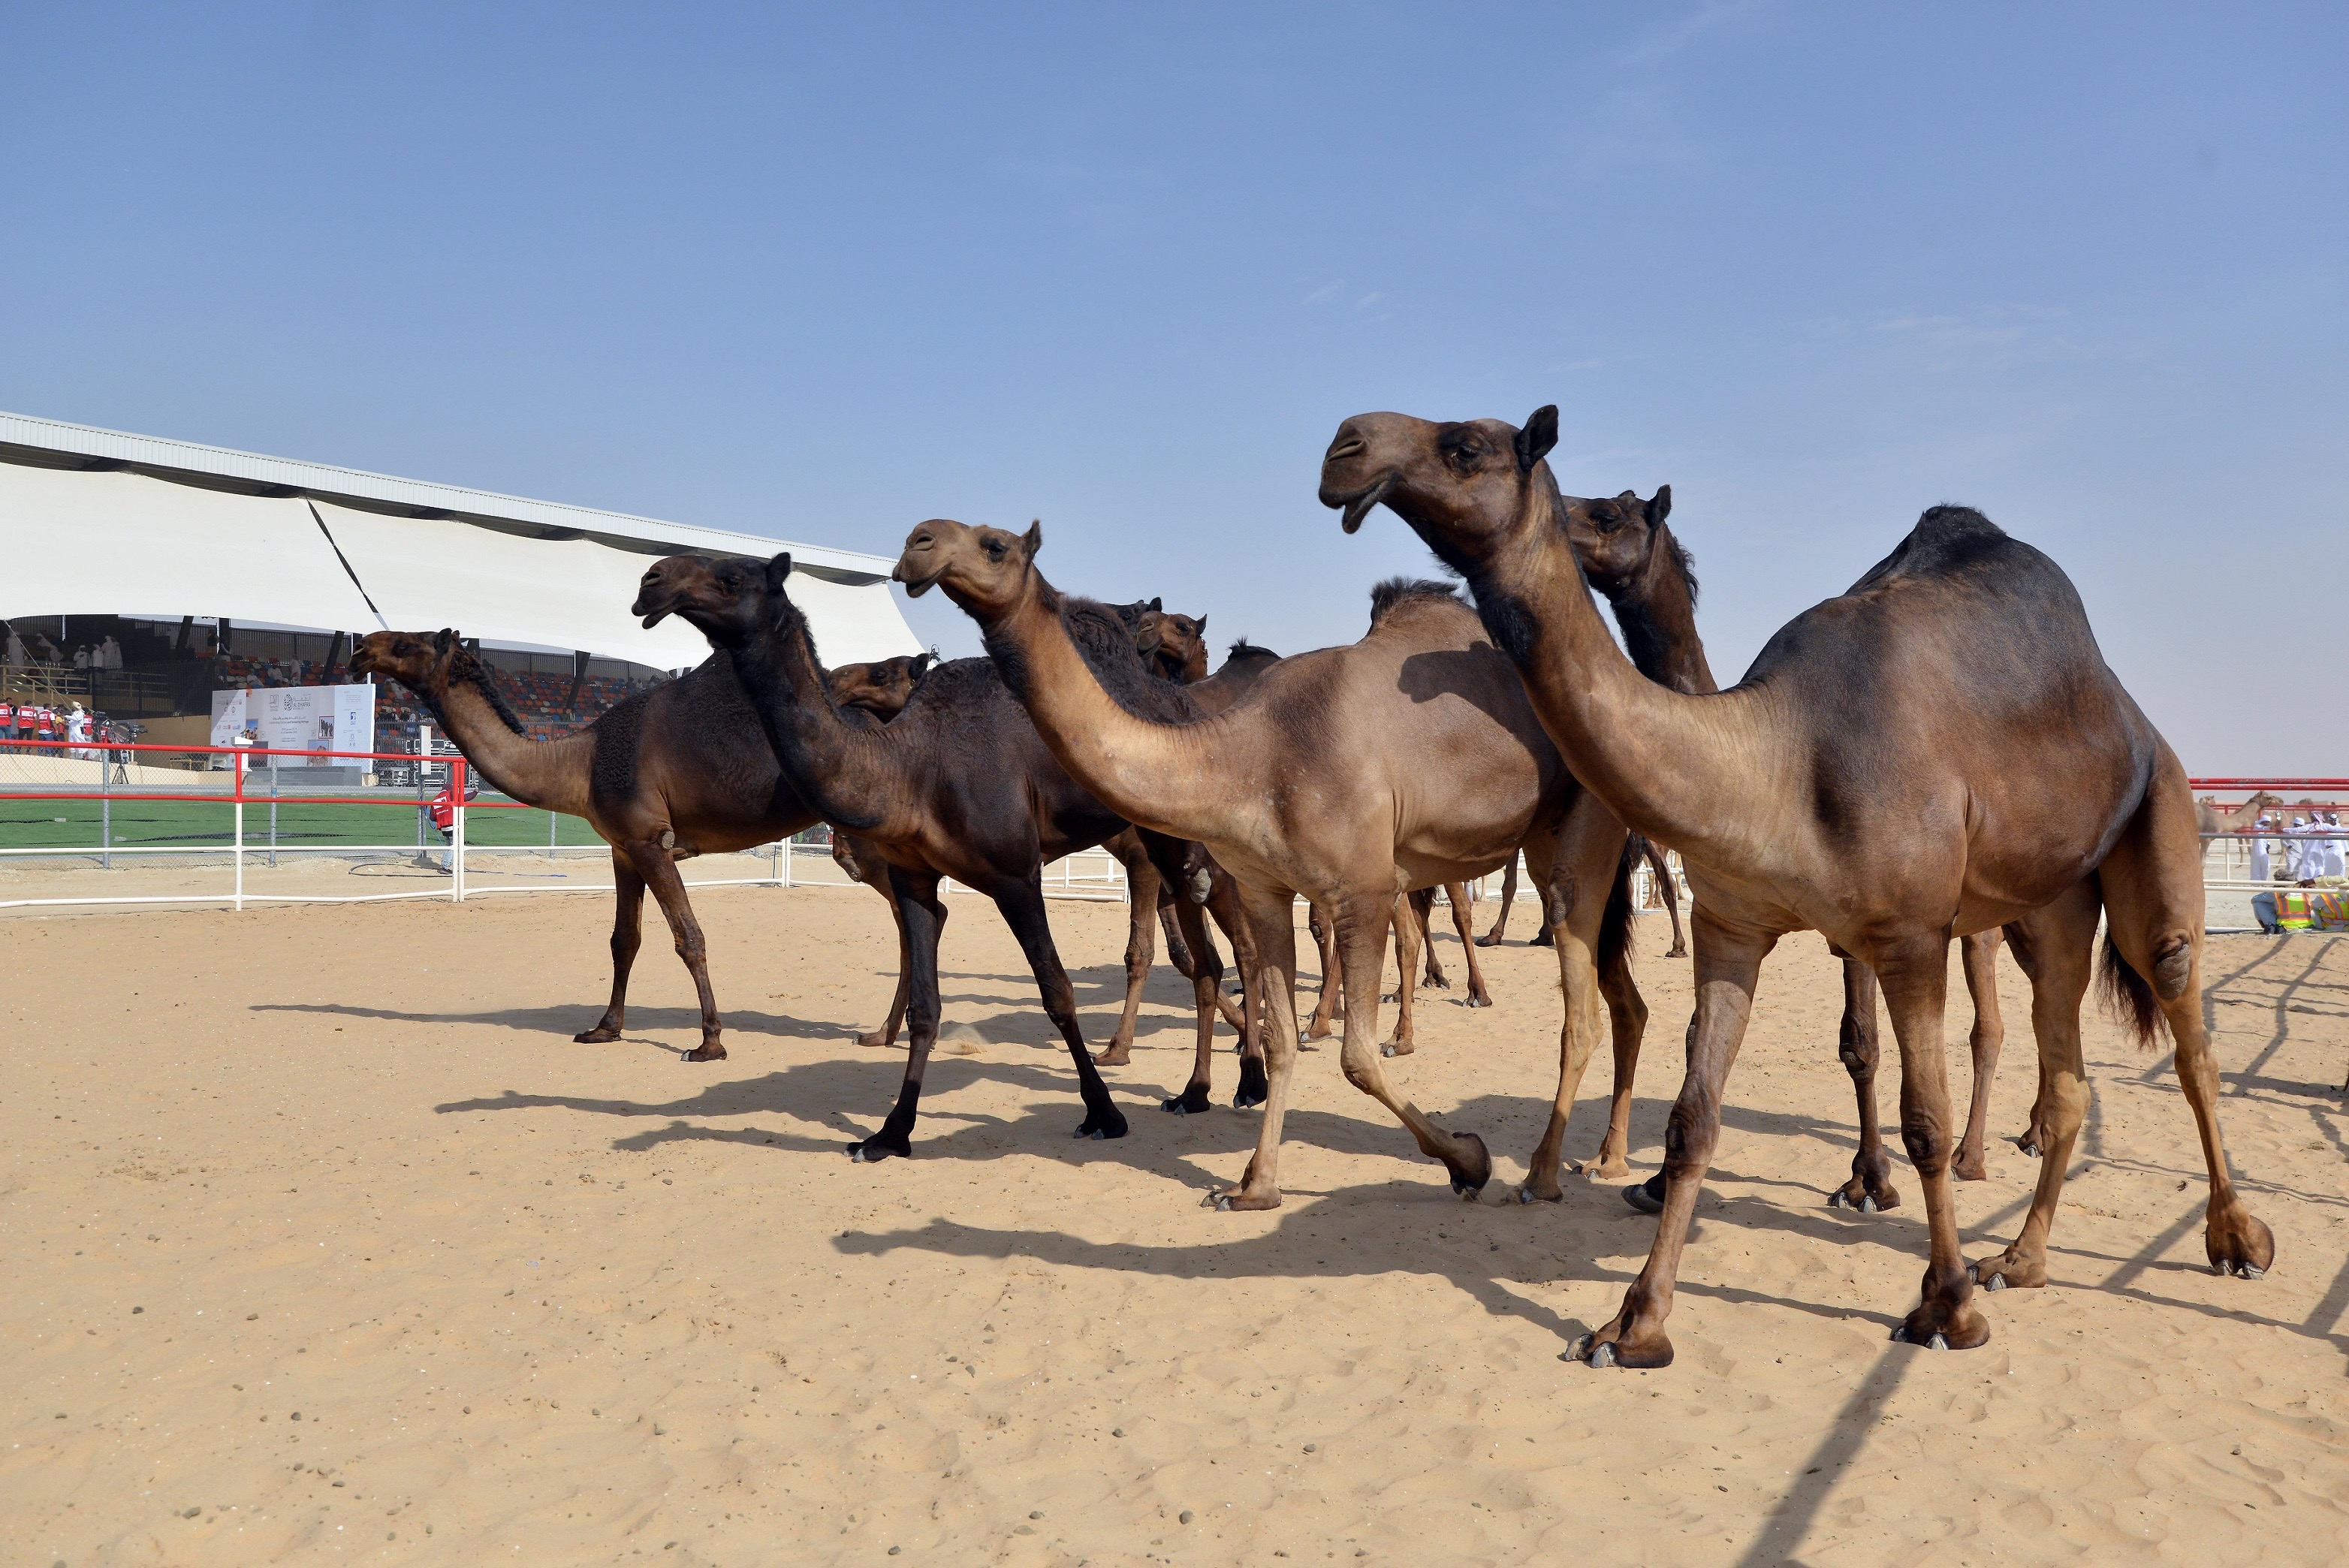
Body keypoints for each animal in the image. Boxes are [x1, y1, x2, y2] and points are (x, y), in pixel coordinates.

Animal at [347, 629, 915, 1060]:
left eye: (405, 643)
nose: (361, 648)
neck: (580, 760)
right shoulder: (623, 848)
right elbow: (624, 940)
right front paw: (605, 1027)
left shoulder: (650, 841)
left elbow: (689, 937)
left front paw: (709, 1042)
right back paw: (885, 1033)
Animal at [638, 549, 1268, 1150]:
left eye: (732, 577)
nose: (652, 580)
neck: (913, 767)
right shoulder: (914, 877)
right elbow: (926, 1007)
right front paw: (890, 1133)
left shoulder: (1016, 874)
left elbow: (1059, 993)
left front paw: (1104, 1113)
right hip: (1166, 844)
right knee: (1208, 957)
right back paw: (1195, 1092)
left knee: (1242, 944)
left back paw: (1250, 1081)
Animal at [892, 520, 1672, 1211]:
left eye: (994, 543)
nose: (917, 544)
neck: (1251, 755)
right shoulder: (1265, 888)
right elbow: (1281, 1038)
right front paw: (1253, 1185)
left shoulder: (1363, 887)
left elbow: (1356, 1056)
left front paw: (1469, 1160)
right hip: (1548, 835)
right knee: (1622, 999)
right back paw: (1608, 1160)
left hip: (1587, 821)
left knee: (1579, 1006)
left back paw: (1541, 1173)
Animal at [1334, 408, 2283, 1370]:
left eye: (1464, 446)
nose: (1345, 447)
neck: (1773, 755)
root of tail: (2129, 714)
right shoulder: (1730, 927)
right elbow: (1694, 1118)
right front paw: (1633, 1323)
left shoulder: (1905, 935)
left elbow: (1918, 1117)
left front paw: (1940, 1304)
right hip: (2049, 900)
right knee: (2066, 1073)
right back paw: (2019, 1256)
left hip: (2156, 815)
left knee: (2183, 1026)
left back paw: (2231, 1236)